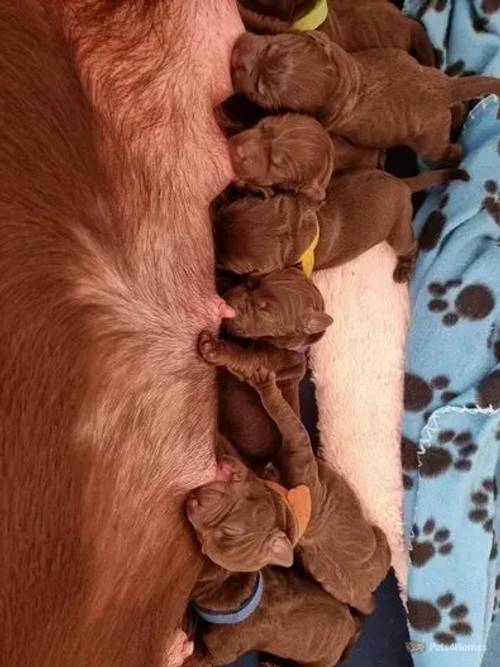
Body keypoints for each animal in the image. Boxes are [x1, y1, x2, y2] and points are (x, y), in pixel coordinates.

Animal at [188, 366, 390, 616]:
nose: (192, 504)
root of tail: (364, 599)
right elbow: (285, 417)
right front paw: (266, 387)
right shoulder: (297, 450)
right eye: (201, 538)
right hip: (380, 542)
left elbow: (282, 421)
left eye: (229, 531)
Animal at [216, 168, 468, 284]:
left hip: (398, 230)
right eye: (227, 212)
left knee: (411, 246)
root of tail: (402, 183)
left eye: (237, 268)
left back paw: (404, 268)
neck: (296, 227)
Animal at [231, 30, 500, 162]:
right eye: (272, 45)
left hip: (429, 139)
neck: (342, 81)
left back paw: (456, 152)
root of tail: (443, 88)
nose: (236, 52)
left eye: (261, 89)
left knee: (440, 150)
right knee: (457, 109)